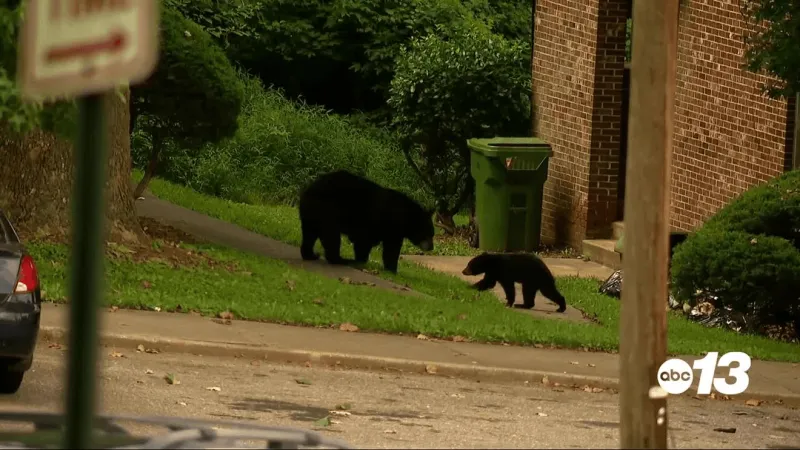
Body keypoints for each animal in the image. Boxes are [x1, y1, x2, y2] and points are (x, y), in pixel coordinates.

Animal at [298, 170, 435, 274]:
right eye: (429, 233)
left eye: (432, 234)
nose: (431, 247)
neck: (405, 217)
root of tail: (309, 189)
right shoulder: (385, 226)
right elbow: (375, 245)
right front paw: (390, 270)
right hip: (328, 211)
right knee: (331, 236)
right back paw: (340, 259)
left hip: (311, 215)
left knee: (309, 235)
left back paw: (310, 255)